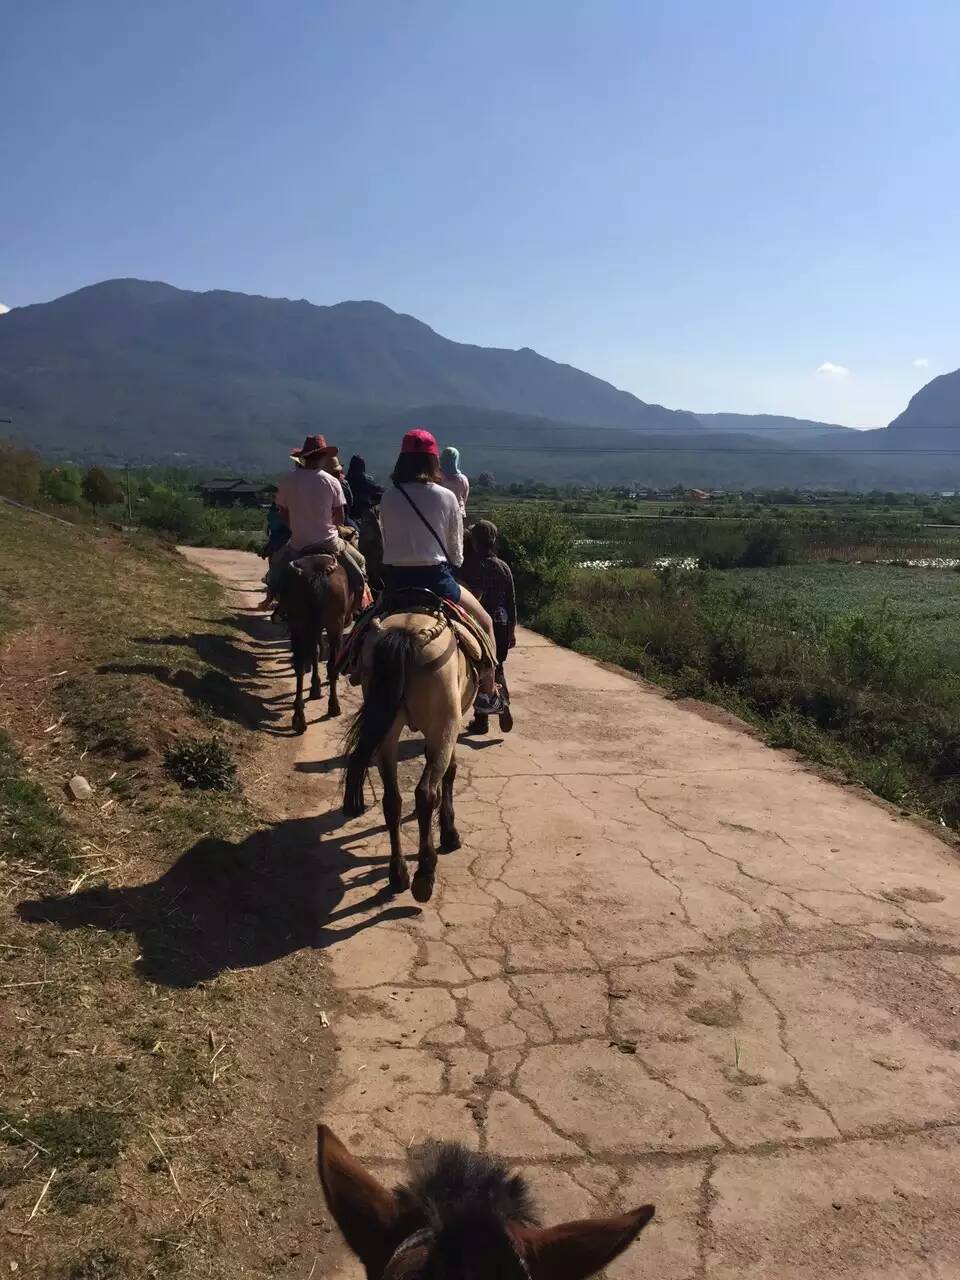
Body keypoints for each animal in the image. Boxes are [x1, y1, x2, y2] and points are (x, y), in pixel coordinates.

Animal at [277, 558, 358, 737]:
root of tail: (315, 573)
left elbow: (315, 652)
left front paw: (315, 687)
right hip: (335, 625)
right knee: (332, 665)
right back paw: (334, 706)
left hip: (297, 623)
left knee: (299, 666)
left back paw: (299, 717)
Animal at [343, 606, 478, 901]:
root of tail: (405, 633)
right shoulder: (449, 726)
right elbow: (449, 773)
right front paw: (449, 833)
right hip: (443, 724)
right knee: (424, 792)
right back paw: (424, 874)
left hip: (388, 731)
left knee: (392, 800)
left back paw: (398, 873)